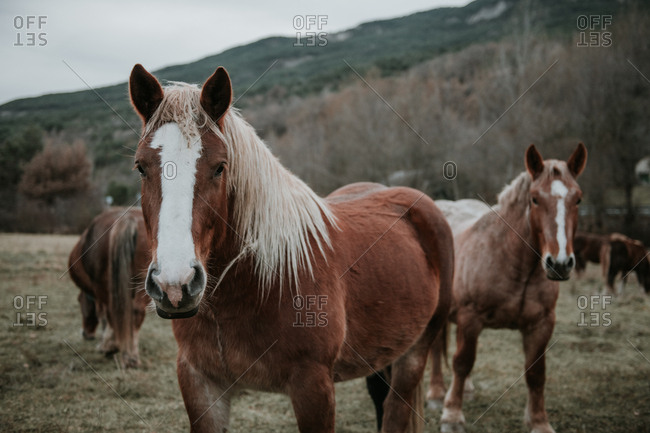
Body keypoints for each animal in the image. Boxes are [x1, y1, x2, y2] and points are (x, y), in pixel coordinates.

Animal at [68, 207, 151, 368]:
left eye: (79, 302)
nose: (85, 334)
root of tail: (128, 218)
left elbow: (103, 316)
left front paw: (107, 345)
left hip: (103, 286)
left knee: (111, 311)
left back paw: (116, 350)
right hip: (142, 283)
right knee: (135, 312)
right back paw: (131, 356)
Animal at [128, 64, 453, 433]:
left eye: (220, 167)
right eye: (141, 167)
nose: (175, 284)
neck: (260, 282)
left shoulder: (313, 386)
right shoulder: (200, 382)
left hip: (416, 351)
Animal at [425, 143, 587, 433]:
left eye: (577, 199)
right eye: (535, 199)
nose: (559, 264)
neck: (513, 262)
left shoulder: (541, 324)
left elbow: (536, 373)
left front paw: (539, 421)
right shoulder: (471, 318)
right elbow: (462, 362)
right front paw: (451, 415)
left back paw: (465, 390)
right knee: (438, 351)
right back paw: (435, 394)